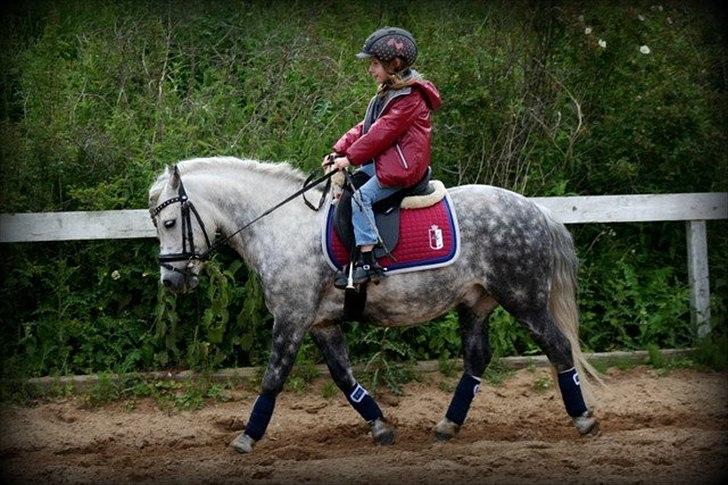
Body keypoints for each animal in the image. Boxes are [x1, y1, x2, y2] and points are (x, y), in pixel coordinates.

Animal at [148, 156, 601, 453]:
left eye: (169, 223)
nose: (172, 281)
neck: (281, 226)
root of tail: (538, 211)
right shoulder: (321, 323)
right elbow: (343, 376)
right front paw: (381, 427)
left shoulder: (292, 318)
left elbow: (273, 378)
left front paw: (247, 437)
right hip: (476, 302)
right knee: (476, 359)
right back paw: (447, 426)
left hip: (523, 299)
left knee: (558, 348)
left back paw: (584, 419)